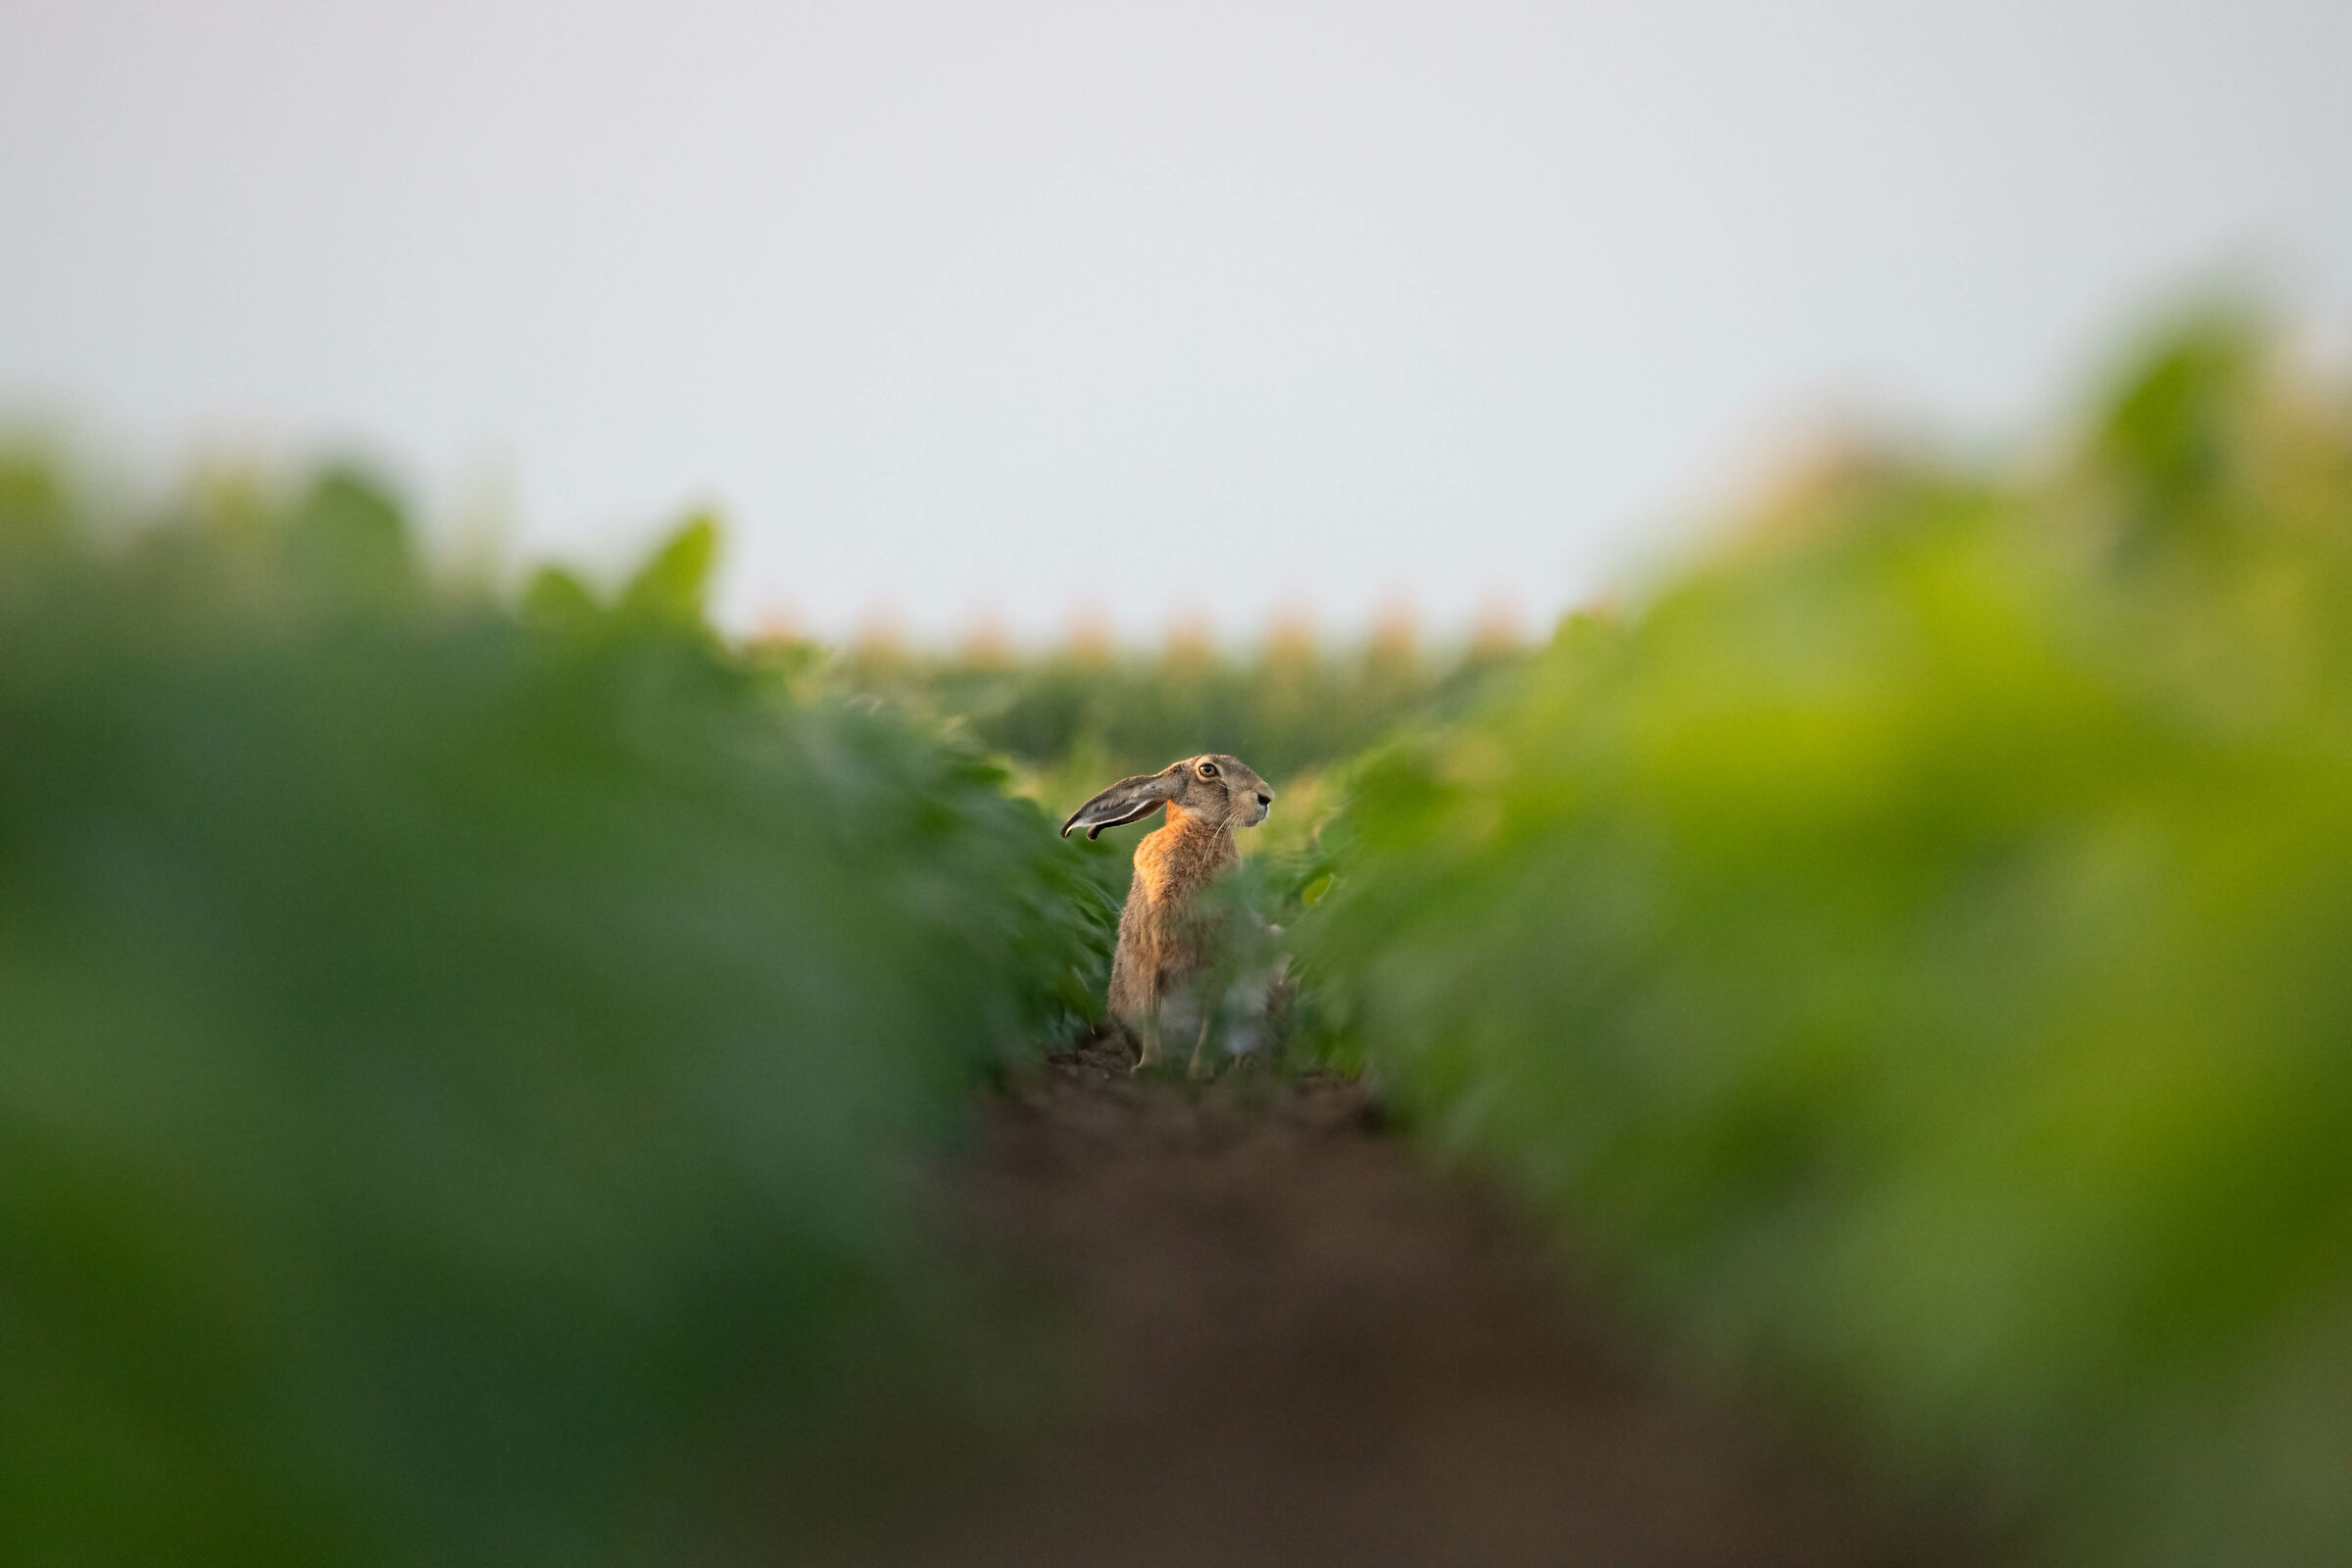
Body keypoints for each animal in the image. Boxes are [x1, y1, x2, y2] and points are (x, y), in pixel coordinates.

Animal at [1062, 753, 1278, 1073]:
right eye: (1207, 769)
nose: (1266, 797)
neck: (1199, 827)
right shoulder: (1152, 954)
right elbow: (1151, 1012)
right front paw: (1149, 1068)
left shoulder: (1219, 958)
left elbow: (1210, 1019)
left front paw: (1199, 1071)